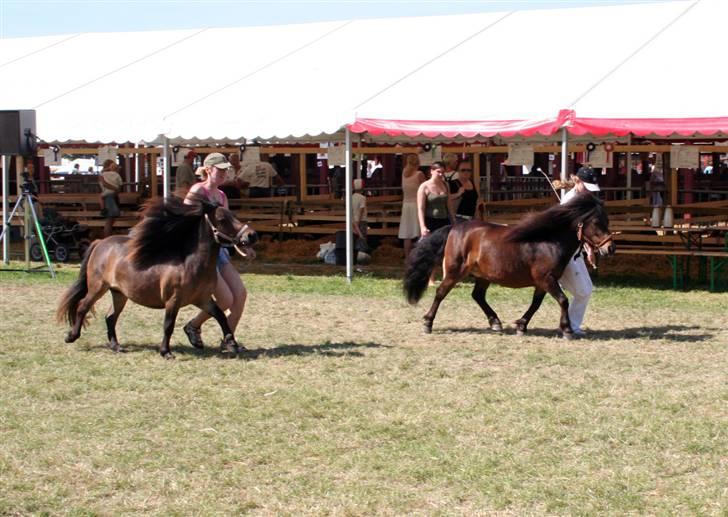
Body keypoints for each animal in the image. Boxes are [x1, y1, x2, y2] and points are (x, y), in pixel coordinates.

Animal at [55, 196, 258, 356]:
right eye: (222, 219)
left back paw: (116, 346)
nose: (252, 235)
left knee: (110, 317)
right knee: (82, 307)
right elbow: (168, 325)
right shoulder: (173, 300)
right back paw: (71, 336)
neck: (191, 264)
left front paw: (232, 343)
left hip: (119, 293)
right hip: (98, 287)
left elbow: (220, 316)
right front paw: (165, 352)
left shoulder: (203, 299)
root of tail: (100, 242)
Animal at [404, 191, 616, 336]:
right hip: (454, 272)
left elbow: (536, 304)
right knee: (441, 293)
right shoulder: (546, 278)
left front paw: (521, 325)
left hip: (483, 275)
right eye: (597, 222)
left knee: (477, 296)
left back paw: (495, 323)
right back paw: (428, 323)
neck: (549, 241)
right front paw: (567, 330)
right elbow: (563, 300)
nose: (610, 248)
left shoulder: (543, 282)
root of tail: (455, 228)